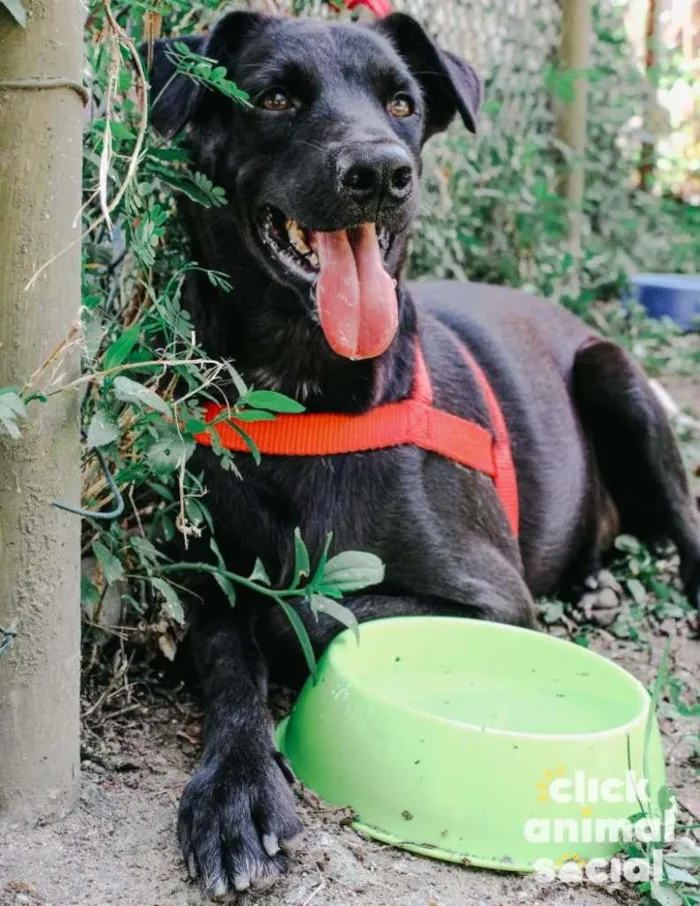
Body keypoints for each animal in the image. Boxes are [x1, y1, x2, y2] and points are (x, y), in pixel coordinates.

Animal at [144, 10, 700, 900]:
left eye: (402, 102)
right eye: (273, 97)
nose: (380, 171)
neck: (304, 398)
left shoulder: (495, 600)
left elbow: (314, 613)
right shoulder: (205, 581)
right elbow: (233, 651)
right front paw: (235, 792)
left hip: (615, 375)